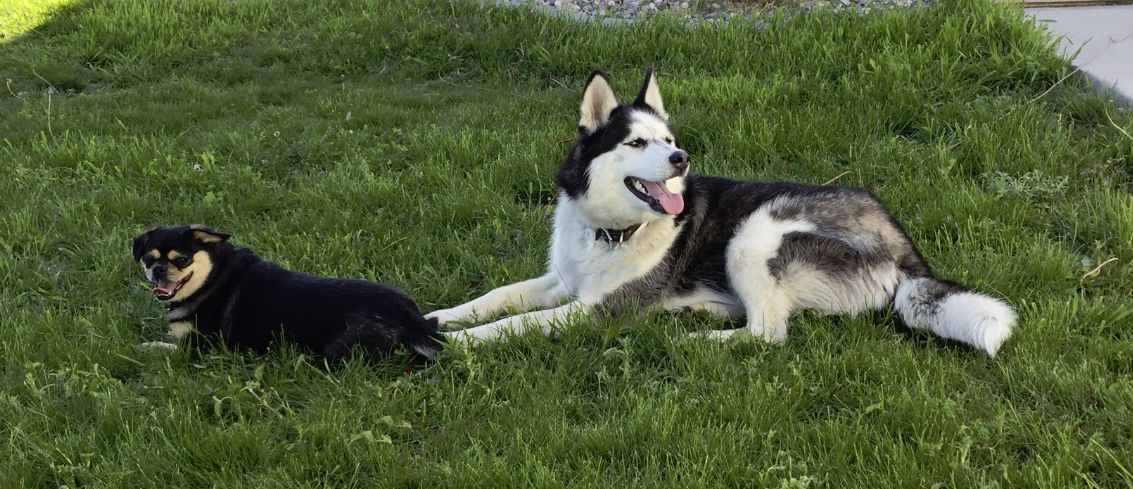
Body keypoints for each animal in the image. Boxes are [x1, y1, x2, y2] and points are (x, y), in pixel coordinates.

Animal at [133, 225, 446, 362]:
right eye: (148, 259)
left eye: (182, 260)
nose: (158, 270)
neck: (212, 277)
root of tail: (408, 317)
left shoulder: (201, 348)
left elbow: (165, 347)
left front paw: (144, 347)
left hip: (337, 349)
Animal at [432, 67, 1019, 355]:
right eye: (637, 143)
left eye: (668, 141)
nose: (681, 158)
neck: (610, 232)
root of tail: (903, 245)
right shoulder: (563, 281)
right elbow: (497, 298)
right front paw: (443, 317)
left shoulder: (601, 309)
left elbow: (517, 324)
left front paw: (456, 343)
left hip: (753, 234)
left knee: (768, 334)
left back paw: (695, 341)